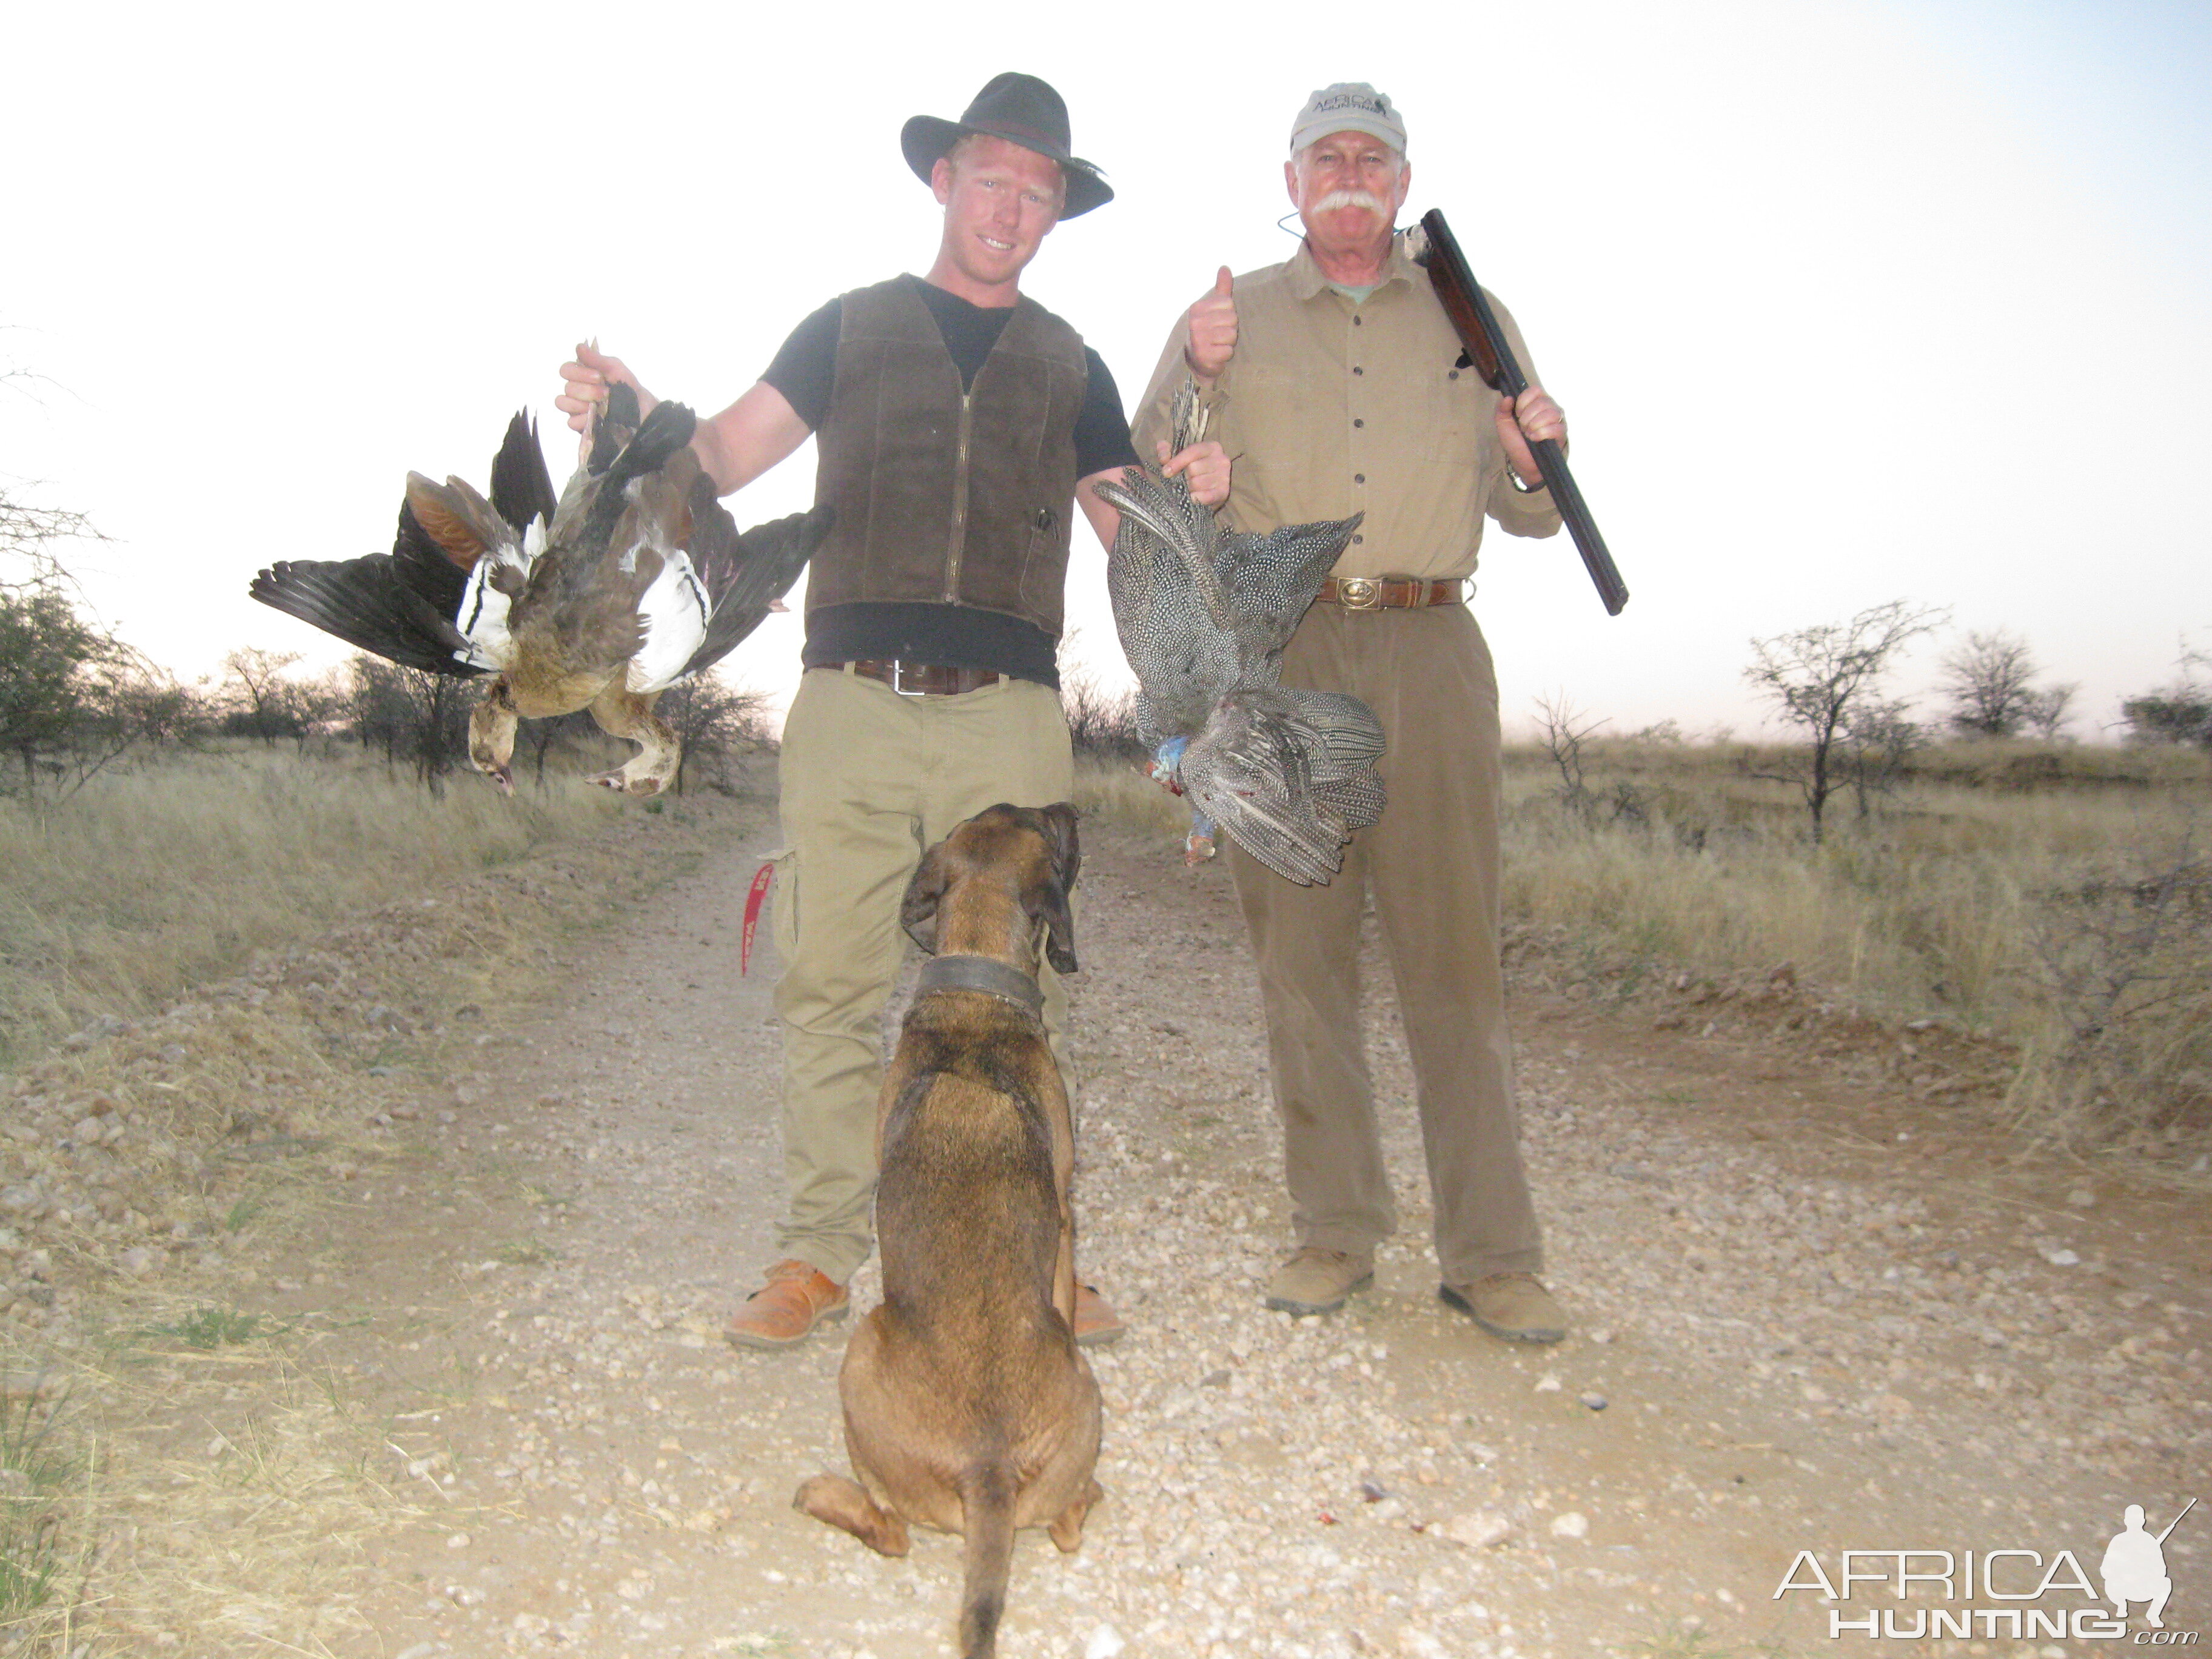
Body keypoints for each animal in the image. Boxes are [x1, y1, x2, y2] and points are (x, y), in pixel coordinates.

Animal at [796, 800, 1106, 1654]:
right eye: (1045, 828)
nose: (1071, 807)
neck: (976, 997)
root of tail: (987, 1465)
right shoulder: (1065, 1219)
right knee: (914, 1533)